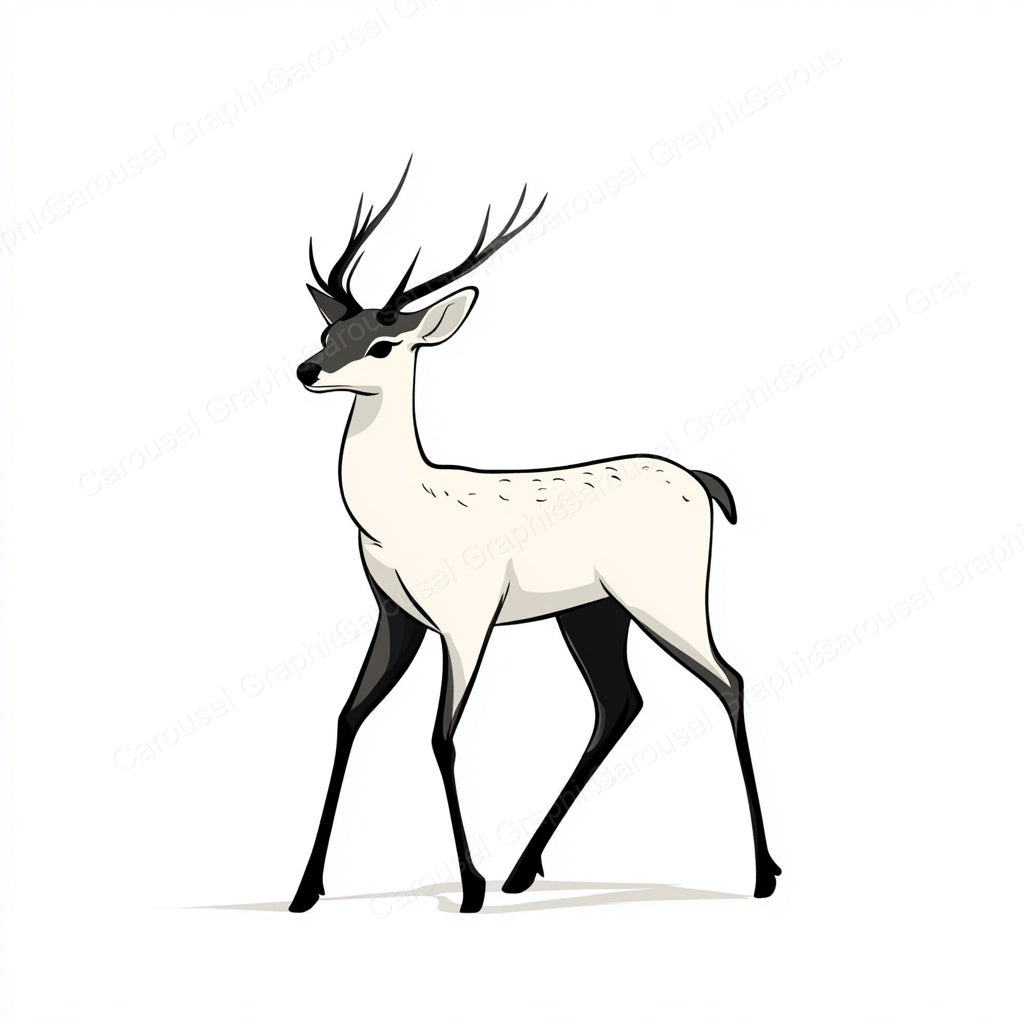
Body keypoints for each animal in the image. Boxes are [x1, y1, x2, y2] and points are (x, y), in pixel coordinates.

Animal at [288, 157, 781, 914]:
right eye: (325, 335)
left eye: (382, 342)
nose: (306, 371)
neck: (400, 511)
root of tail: (703, 482)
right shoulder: (394, 614)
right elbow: (347, 717)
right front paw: (305, 889)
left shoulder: (465, 618)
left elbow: (441, 735)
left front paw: (468, 889)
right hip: (593, 611)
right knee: (619, 702)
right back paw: (523, 869)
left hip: (664, 596)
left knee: (729, 680)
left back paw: (762, 874)